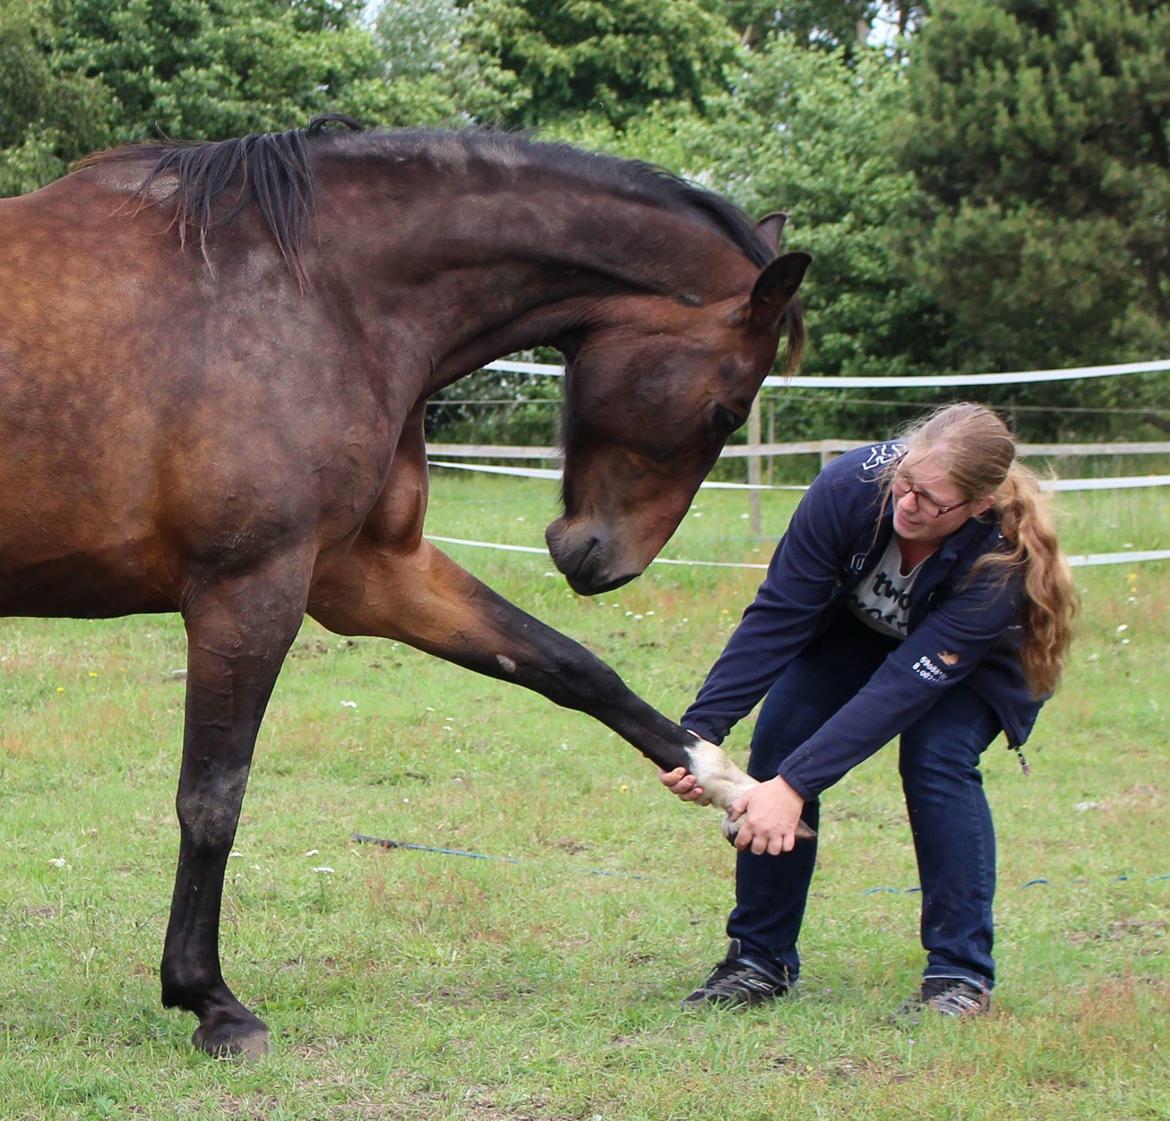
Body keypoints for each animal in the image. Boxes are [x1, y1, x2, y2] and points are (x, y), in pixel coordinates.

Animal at [0, 118, 804, 1057]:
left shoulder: (369, 573)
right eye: (726, 410)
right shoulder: (250, 591)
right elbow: (212, 797)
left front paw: (734, 788)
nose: (601, 561)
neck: (317, 293)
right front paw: (210, 999)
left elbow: (573, 668)